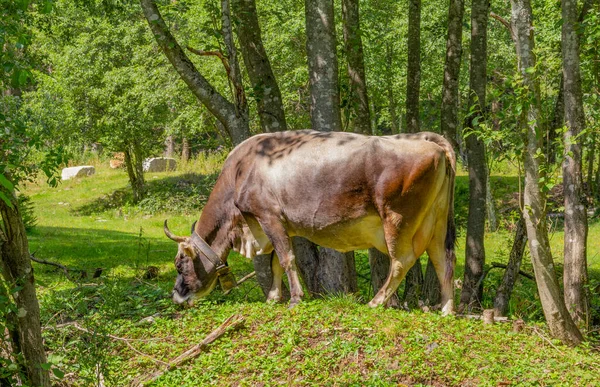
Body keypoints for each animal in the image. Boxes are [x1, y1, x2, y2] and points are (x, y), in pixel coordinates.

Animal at [163, 130, 454, 316]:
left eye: (179, 263)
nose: (176, 296)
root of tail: (426, 139)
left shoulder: (268, 215)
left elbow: (286, 258)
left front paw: (294, 299)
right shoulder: (281, 225)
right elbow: (275, 263)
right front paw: (272, 298)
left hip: (396, 218)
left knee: (402, 260)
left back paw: (376, 301)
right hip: (437, 220)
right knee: (442, 259)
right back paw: (447, 309)